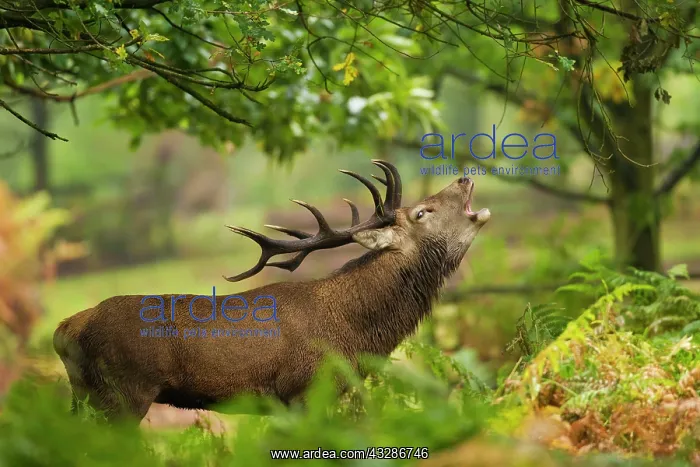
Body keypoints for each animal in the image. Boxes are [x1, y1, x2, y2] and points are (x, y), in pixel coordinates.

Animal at [53, 160, 491, 424]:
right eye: (421, 212)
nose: (464, 177)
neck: (357, 334)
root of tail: (64, 329)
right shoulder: (302, 390)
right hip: (123, 392)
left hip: (85, 395)